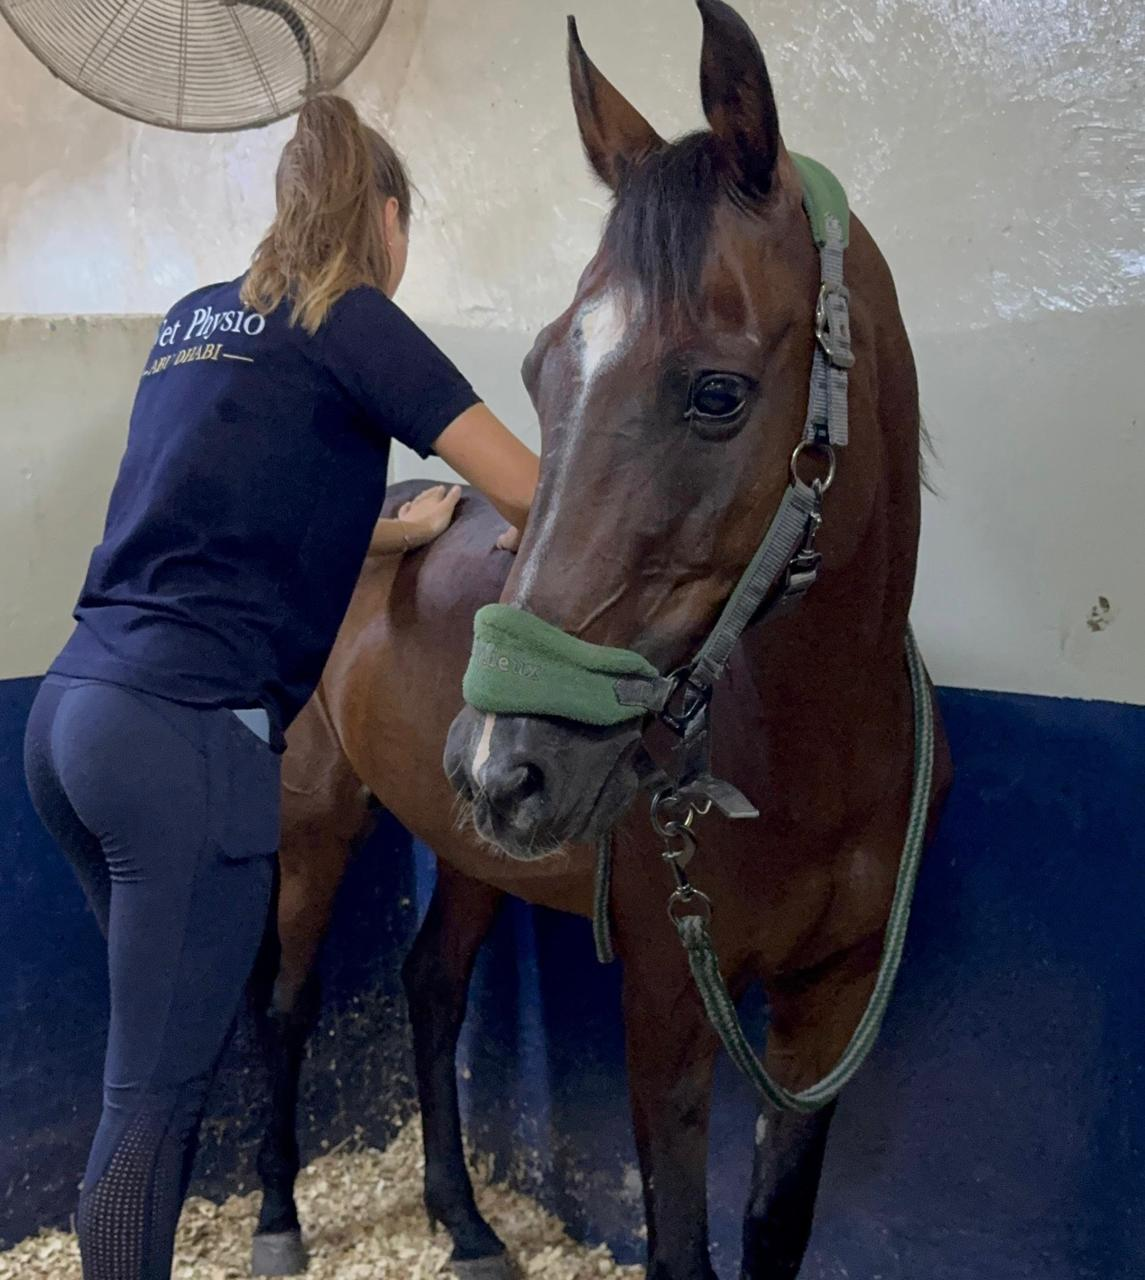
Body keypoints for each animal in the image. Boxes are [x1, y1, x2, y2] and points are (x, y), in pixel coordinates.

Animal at [249, 3, 952, 1278]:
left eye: (716, 392)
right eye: (537, 372)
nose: (500, 762)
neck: (820, 753)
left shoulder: (827, 1007)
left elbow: (773, 1227)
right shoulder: (668, 1008)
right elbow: (680, 1242)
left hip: (467, 845)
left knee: (432, 985)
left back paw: (466, 1220)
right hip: (319, 817)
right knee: (286, 1000)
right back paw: (278, 1217)